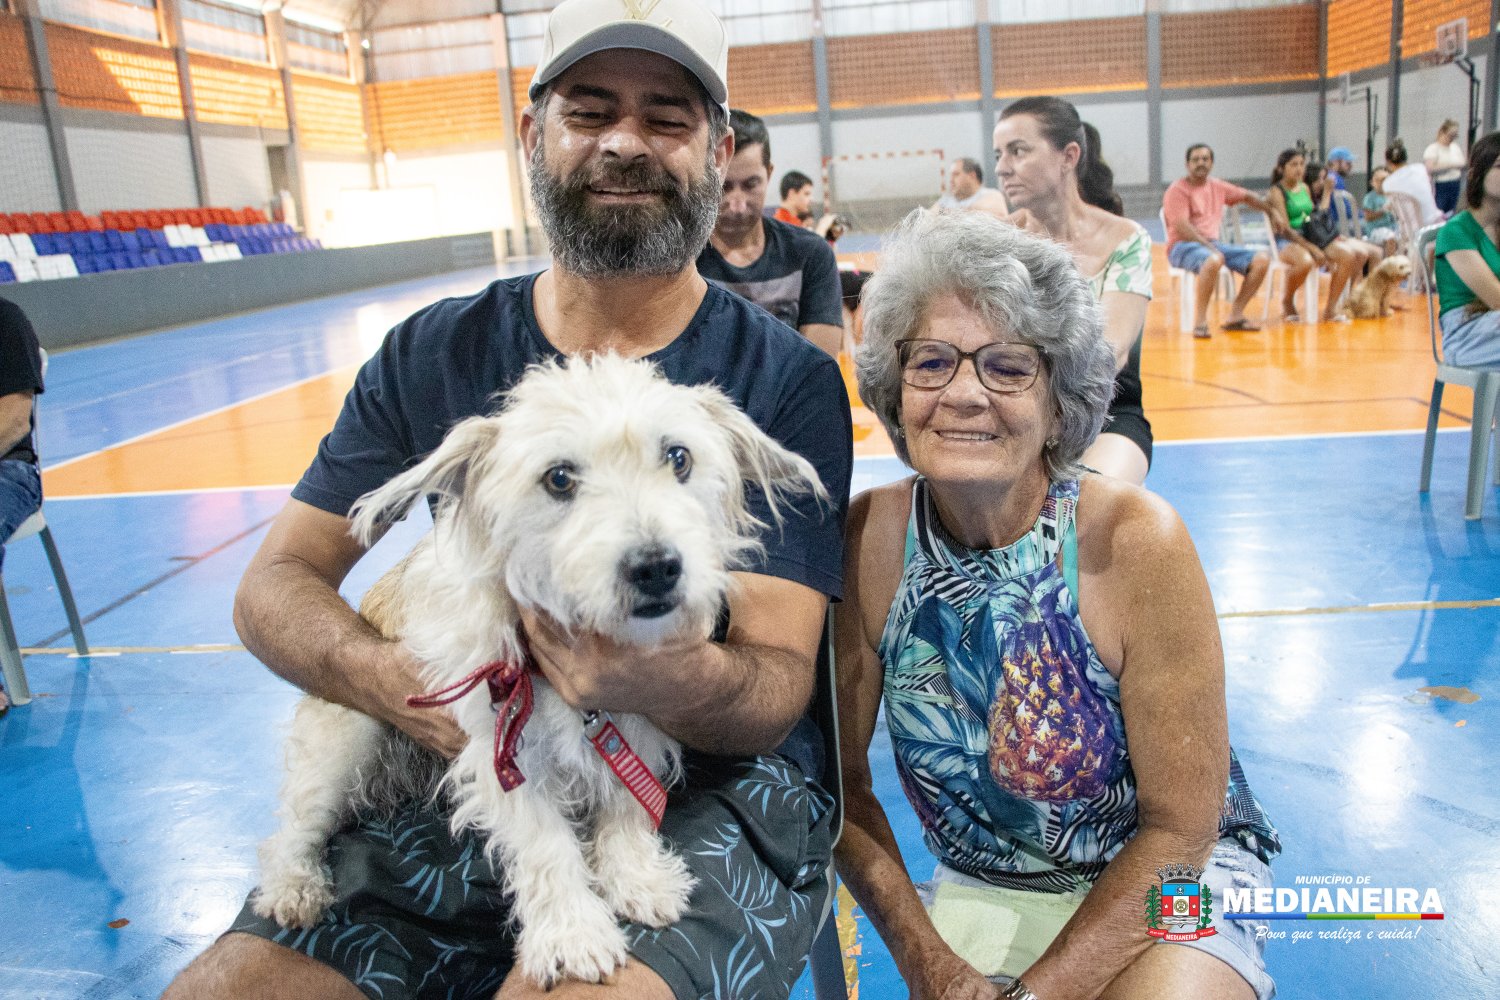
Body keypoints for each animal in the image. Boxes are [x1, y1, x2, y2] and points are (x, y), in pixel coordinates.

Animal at [251, 354, 826, 986]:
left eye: (679, 457)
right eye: (559, 478)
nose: (657, 567)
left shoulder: (640, 718)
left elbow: (627, 808)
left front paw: (636, 879)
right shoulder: (505, 749)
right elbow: (544, 844)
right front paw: (573, 932)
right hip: (348, 736)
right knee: (294, 825)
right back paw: (295, 886)